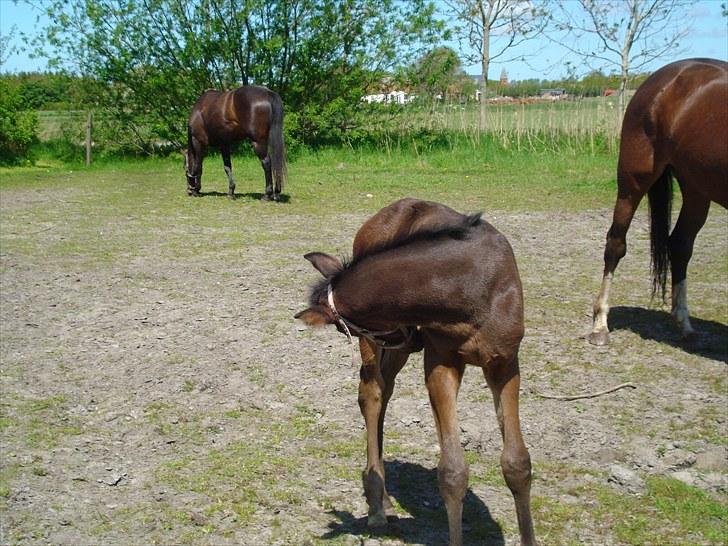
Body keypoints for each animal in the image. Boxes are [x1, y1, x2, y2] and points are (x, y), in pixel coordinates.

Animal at [294, 198, 536, 544]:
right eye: (344, 330)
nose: (413, 337)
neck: (470, 286)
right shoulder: (441, 362)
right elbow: (452, 471)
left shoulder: (504, 363)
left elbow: (517, 463)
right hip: (381, 349)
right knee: (372, 393)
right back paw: (377, 503)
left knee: (384, 391)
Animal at [592, 57, 728, 342]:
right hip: (633, 180)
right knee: (616, 243)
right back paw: (600, 324)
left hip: (696, 187)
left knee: (680, 244)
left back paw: (684, 323)